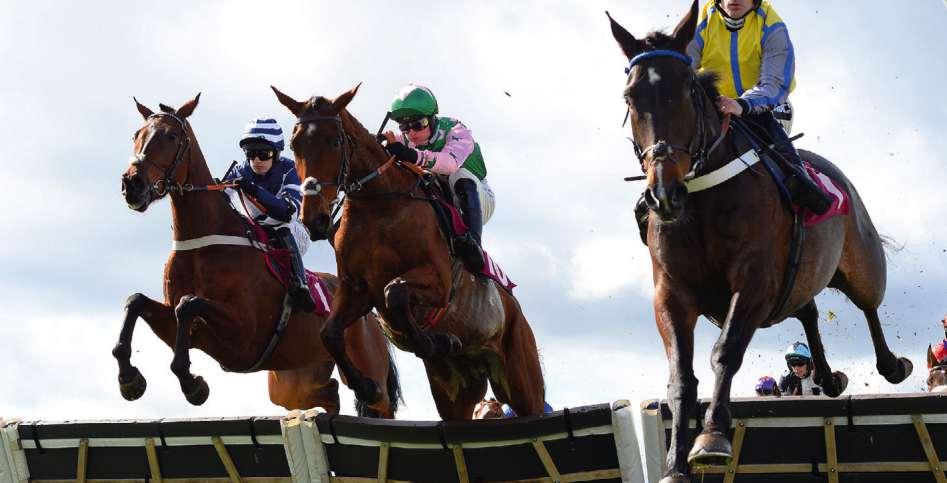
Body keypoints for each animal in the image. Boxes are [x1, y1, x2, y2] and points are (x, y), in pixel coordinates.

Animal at [117, 94, 400, 417]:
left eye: (171, 136)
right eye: (136, 135)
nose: (132, 184)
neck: (201, 245)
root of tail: (372, 316)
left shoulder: (243, 337)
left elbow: (188, 305)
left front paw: (192, 384)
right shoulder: (193, 331)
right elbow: (137, 301)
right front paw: (130, 379)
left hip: (370, 369)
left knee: (375, 398)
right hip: (293, 380)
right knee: (328, 394)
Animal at [269, 84, 546, 420]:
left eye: (334, 141)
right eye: (295, 144)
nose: (314, 219)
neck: (379, 207)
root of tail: (515, 308)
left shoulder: (439, 282)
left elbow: (396, 292)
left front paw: (435, 341)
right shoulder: (356, 289)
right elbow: (330, 333)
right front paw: (368, 386)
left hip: (522, 380)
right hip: (455, 393)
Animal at [607, 3, 912, 481]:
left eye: (688, 90)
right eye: (629, 98)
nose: (663, 194)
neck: (701, 201)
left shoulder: (754, 280)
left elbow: (725, 352)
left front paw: (712, 438)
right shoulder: (671, 293)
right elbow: (680, 376)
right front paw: (675, 464)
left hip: (862, 262)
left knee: (869, 305)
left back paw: (892, 365)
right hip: (798, 279)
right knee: (807, 309)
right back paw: (827, 377)